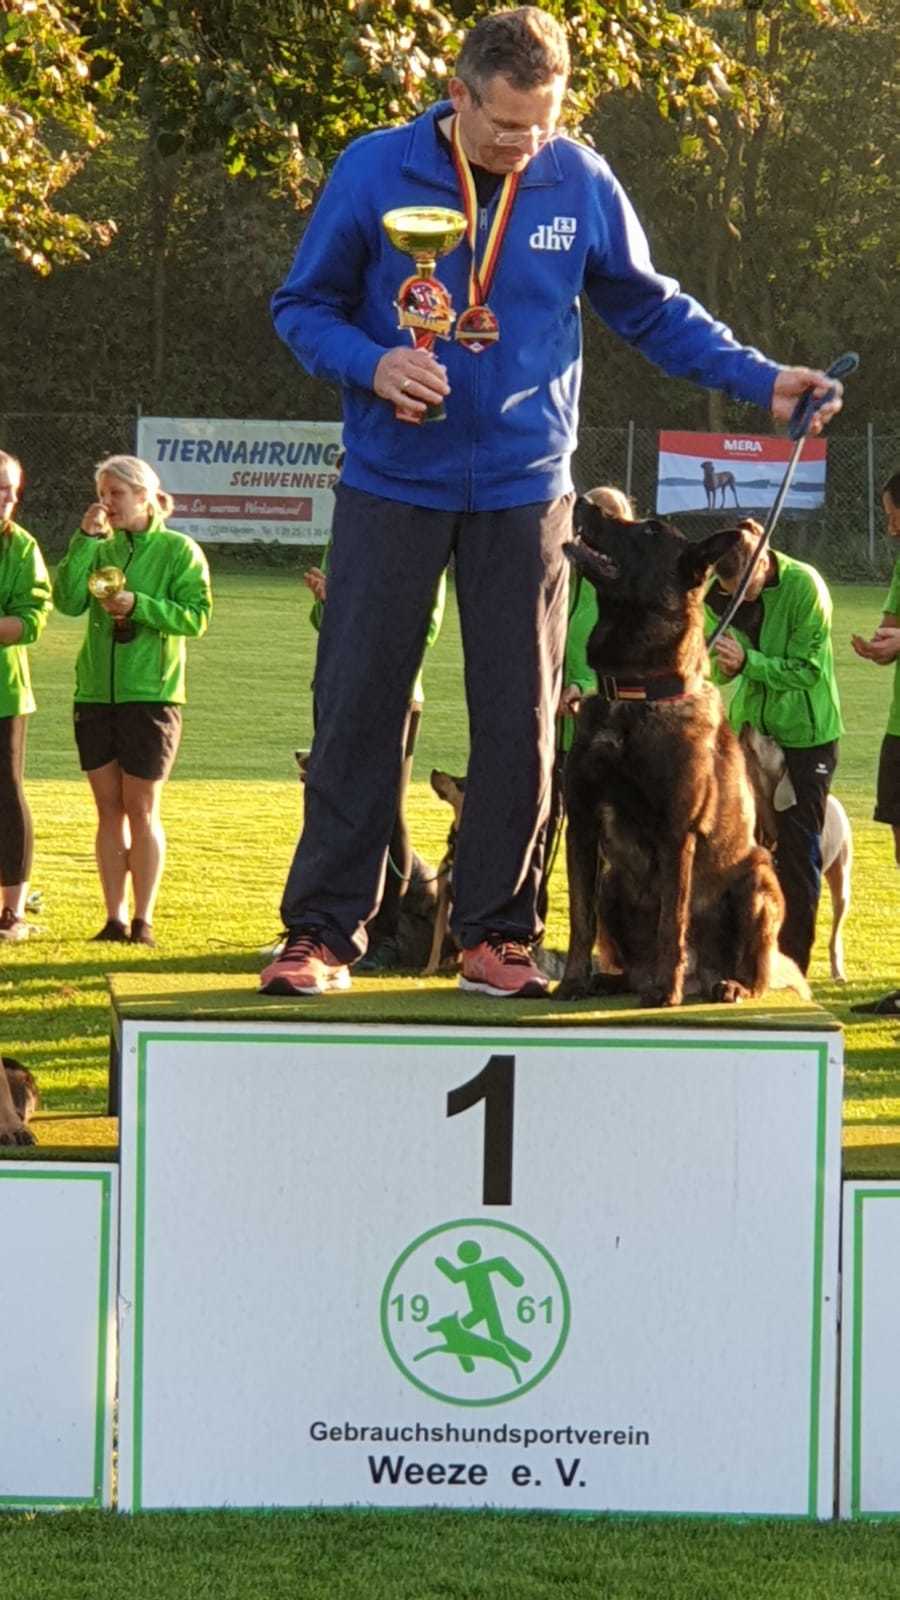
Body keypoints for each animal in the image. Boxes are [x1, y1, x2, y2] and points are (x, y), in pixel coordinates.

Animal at [557, 503, 809, 1007]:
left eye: (652, 530)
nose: (585, 504)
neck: (633, 693)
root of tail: (704, 975)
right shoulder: (583, 825)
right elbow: (581, 919)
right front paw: (572, 981)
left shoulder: (677, 834)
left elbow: (671, 923)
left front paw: (664, 992)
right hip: (613, 881)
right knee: (626, 958)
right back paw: (612, 980)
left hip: (758, 878)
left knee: (755, 970)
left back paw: (727, 985)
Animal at [739, 726, 852, 982]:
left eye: (771, 739)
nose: (747, 724)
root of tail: (833, 799)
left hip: (841, 870)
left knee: (836, 926)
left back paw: (838, 972)